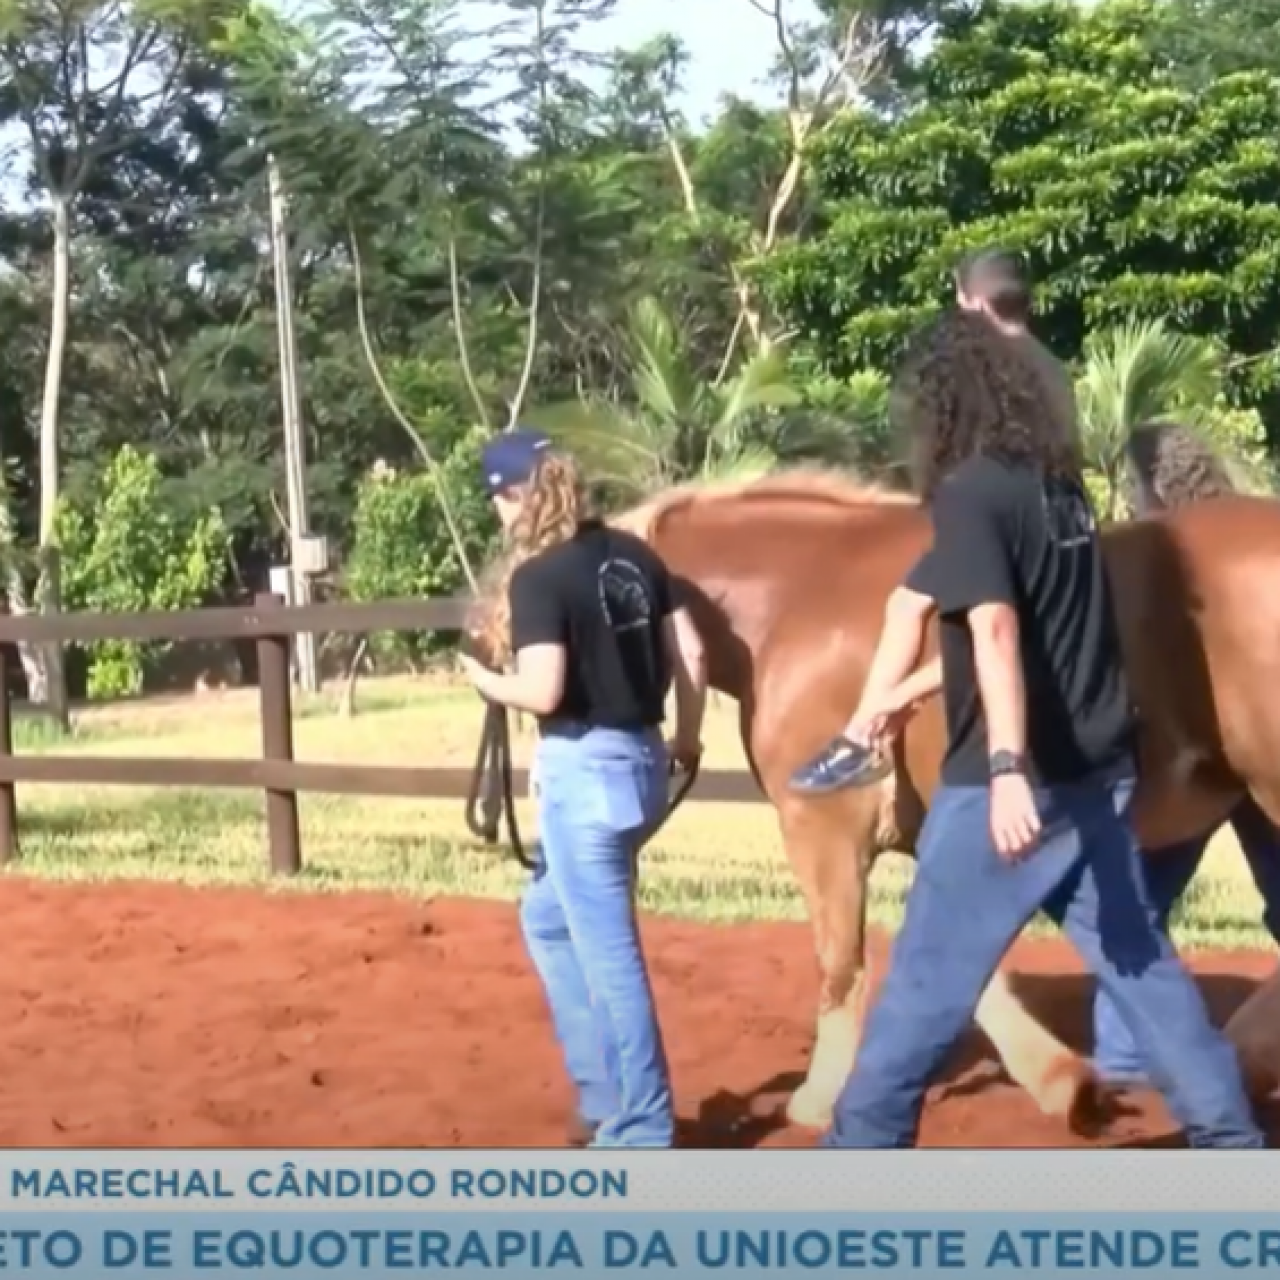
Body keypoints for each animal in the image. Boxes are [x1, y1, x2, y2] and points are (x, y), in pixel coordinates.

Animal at [611, 473, 1280, 1131]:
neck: (799, 599)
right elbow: (961, 969)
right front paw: (1063, 1082)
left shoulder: (823, 826)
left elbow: (844, 962)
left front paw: (816, 1102)